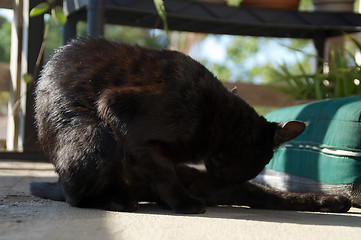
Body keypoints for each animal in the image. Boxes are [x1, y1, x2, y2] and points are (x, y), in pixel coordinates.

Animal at [29, 38, 350, 214]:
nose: (219, 181)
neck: (220, 124)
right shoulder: (120, 113)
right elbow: (163, 172)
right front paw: (184, 204)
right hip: (93, 136)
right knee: (75, 196)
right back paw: (119, 200)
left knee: (272, 197)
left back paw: (336, 201)